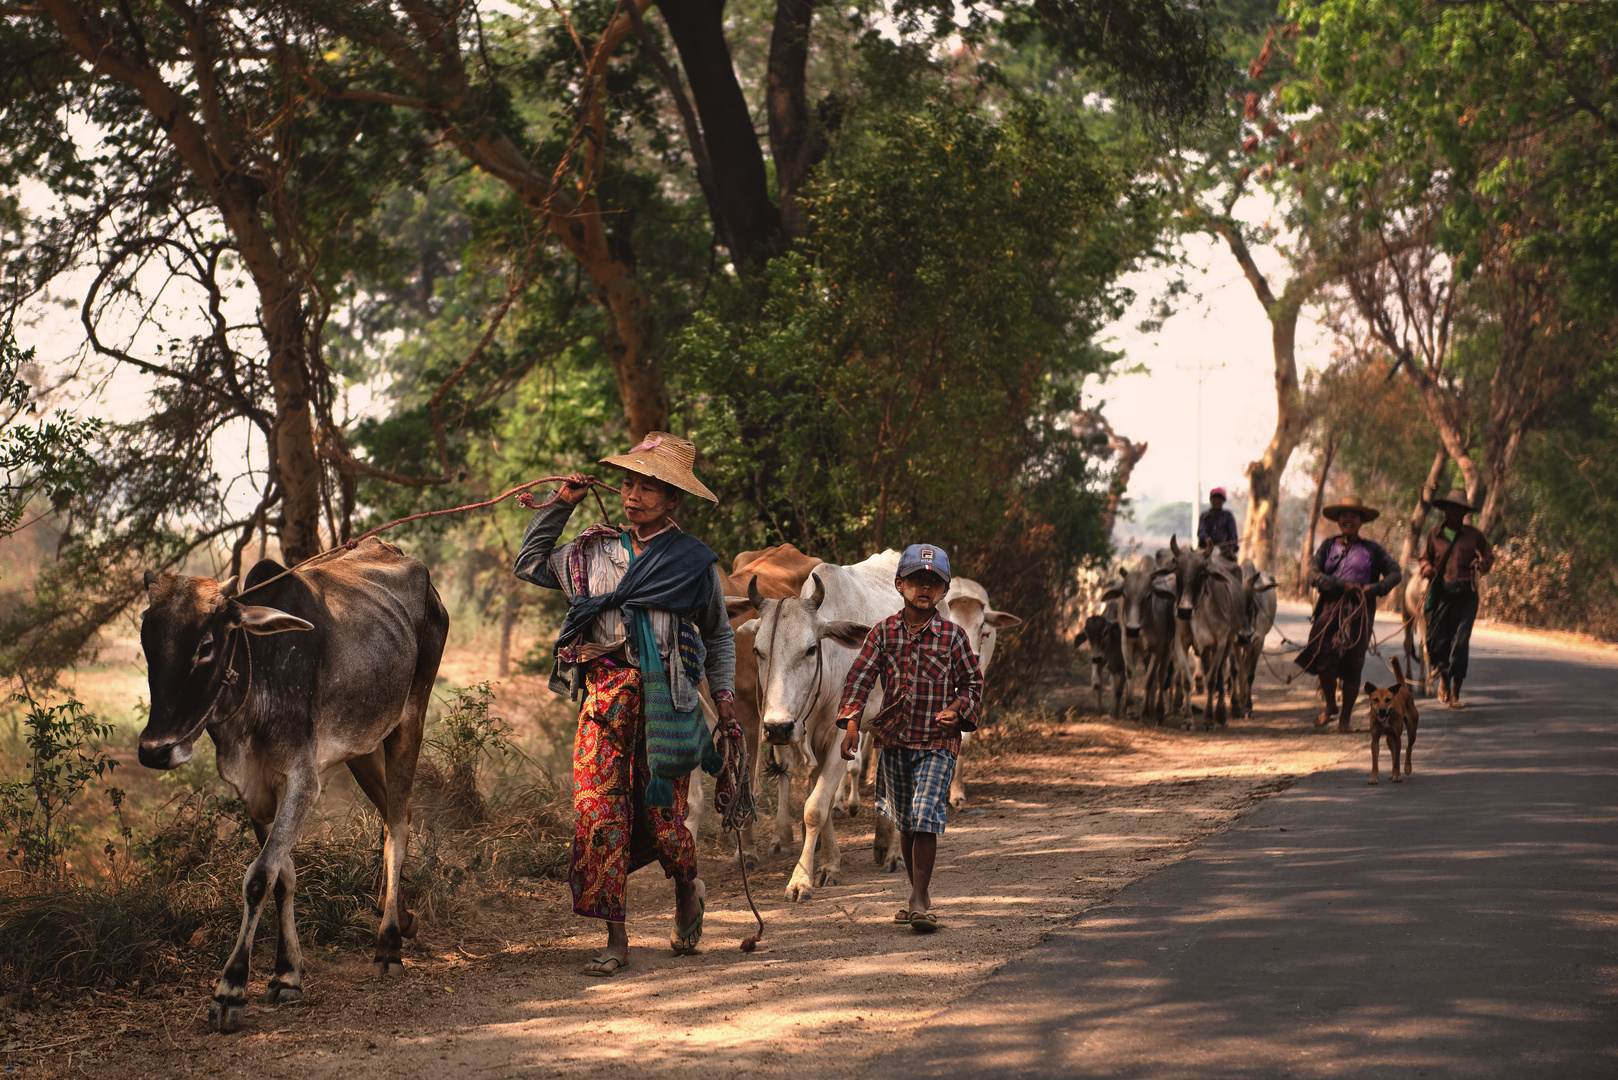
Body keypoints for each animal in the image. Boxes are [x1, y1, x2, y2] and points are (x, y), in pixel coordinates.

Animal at [133, 540, 446, 1029]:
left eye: (206, 645)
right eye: (148, 641)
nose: (154, 749)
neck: (259, 669)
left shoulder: (302, 781)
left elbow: (260, 876)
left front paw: (231, 988)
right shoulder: (255, 790)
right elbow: (282, 876)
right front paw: (286, 975)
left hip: (409, 719)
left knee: (397, 824)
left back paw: (389, 943)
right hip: (360, 745)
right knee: (398, 816)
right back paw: (400, 916)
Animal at [741, 553, 906, 900]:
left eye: (810, 649)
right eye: (758, 651)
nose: (777, 728)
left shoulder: (842, 735)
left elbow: (815, 807)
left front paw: (800, 880)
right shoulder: (811, 739)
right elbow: (825, 802)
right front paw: (830, 865)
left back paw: (895, 854)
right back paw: (882, 843)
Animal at [1152, 537, 1236, 731]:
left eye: (1202, 574)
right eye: (1177, 572)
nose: (1184, 611)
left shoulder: (1220, 642)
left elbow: (1213, 679)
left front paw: (1209, 719)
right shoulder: (1180, 642)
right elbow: (1186, 681)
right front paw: (1188, 720)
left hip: (1229, 642)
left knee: (1221, 674)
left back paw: (1220, 714)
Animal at [1229, 563, 1281, 722]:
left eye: (1252, 604)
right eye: (1233, 602)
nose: (1244, 635)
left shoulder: (1258, 642)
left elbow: (1250, 673)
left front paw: (1248, 706)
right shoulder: (1232, 640)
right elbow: (1235, 669)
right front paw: (1235, 706)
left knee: (1245, 668)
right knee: (1240, 668)